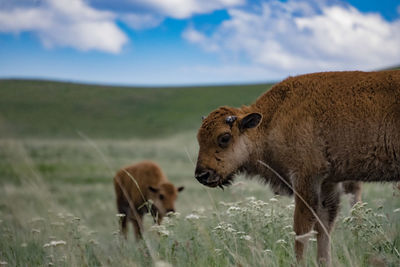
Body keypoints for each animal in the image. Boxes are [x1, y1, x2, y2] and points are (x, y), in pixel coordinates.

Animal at [195, 70, 400, 266]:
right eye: (198, 138)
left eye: (224, 137)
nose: (201, 174)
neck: (273, 117)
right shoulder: (327, 183)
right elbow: (323, 227)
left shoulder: (305, 178)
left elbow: (301, 230)